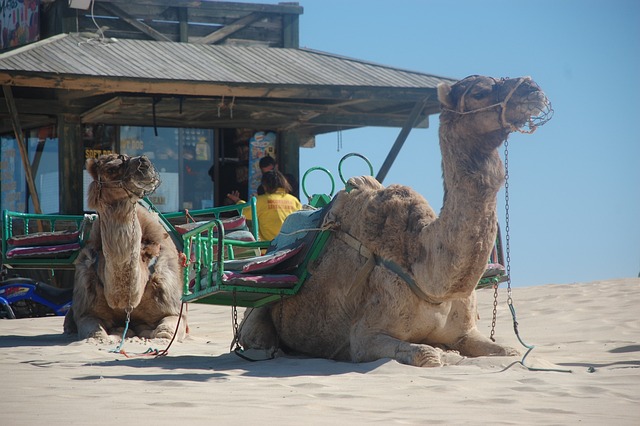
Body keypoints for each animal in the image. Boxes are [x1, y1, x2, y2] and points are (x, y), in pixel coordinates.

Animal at [63, 155, 186, 342]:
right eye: (111, 169)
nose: (144, 163)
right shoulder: (85, 308)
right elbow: (96, 333)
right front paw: (117, 332)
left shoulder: (173, 306)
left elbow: (164, 333)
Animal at [238, 75, 552, 366]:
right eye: (479, 92)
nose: (532, 88)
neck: (427, 277)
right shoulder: (364, 337)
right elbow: (428, 354)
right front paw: (443, 354)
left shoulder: (466, 333)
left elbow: (510, 351)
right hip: (256, 318)